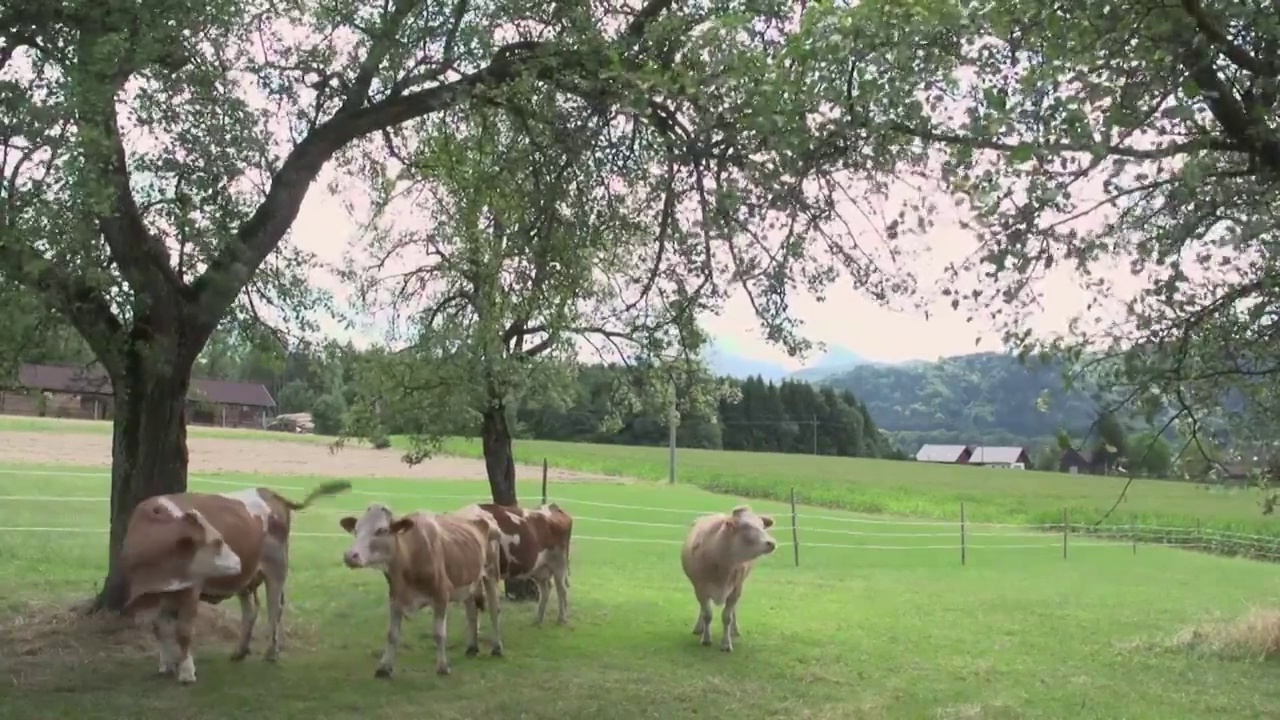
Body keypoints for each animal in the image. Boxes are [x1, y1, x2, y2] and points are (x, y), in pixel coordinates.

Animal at [119, 479, 350, 681]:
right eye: (217, 542)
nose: (237, 560)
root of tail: (269, 492)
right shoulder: (159, 593)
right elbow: (159, 627)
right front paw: (167, 664)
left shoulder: (192, 588)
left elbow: (183, 631)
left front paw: (186, 672)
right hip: (246, 578)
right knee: (251, 610)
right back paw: (240, 650)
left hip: (277, 567)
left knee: (274, 609)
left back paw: (271, 652)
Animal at [340, 502, 504, 676]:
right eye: (356, 530)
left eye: (381, 530)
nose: (350, 556)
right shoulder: (395, 597)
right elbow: (392, 634)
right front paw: (384, 667)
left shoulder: (441, 595)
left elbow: (439, 633)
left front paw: (443, 667)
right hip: (468, 579)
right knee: (471, 611)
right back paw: (472, 648)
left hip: (492, 572)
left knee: (494, 609)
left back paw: (497, 648)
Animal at [680, 504, 778, 650]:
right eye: (746, 526)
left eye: (762, 525)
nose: (771, 543)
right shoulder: (700, 588)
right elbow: (707, 614)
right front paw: (706, 638)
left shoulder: (736, 589)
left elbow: (727, 616)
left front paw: (726, 643)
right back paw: (699, 628)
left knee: (733, 611)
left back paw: (734, 630)